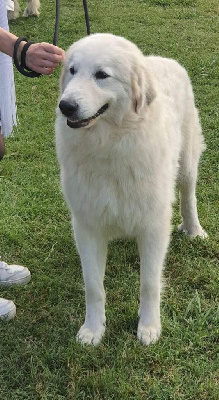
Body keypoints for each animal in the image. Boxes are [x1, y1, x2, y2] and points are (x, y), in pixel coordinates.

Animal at [54, 33, 207, 346]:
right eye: (72, 71)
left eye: (101, 75)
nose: (66, 106)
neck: (110, 144)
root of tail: (161, 59)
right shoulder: (87, 224)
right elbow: (93, 286)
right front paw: (93, 329)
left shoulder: (153, 224)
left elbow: (149, 283)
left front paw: (148, 327)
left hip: (187, 163)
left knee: (189, 196)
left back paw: (194, 230)